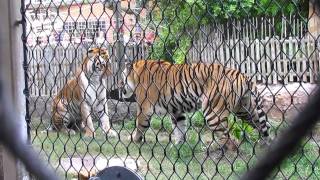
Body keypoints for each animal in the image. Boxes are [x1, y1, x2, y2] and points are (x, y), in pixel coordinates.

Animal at [121, 59, 272, 150]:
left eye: (121, 79)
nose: (118, 88)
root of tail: (243, 76)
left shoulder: (144, 108)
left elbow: (140, 125)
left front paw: (134, 139)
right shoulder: (177, 111)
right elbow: (180, 128)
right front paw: (178, 146)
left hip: (213, 112)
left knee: (228, 138)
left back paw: (212, 148)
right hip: (246, 110)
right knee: (264, 126)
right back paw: (265, 145)